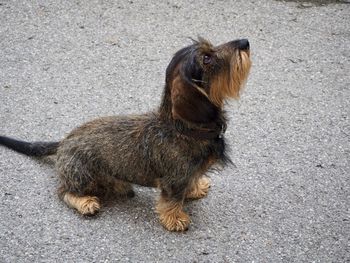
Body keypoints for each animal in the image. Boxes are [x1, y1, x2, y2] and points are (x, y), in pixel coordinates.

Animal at [0, 38, 252, 232]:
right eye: (207, 58)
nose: (245, 42)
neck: (183, 128)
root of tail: (64, 141)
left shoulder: (187, 174)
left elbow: (189, 184)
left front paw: (195, 188)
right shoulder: (173, 179)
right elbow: (171, 200)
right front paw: (175, 218)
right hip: (81, 174)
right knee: (63, 191)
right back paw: (85, 202)